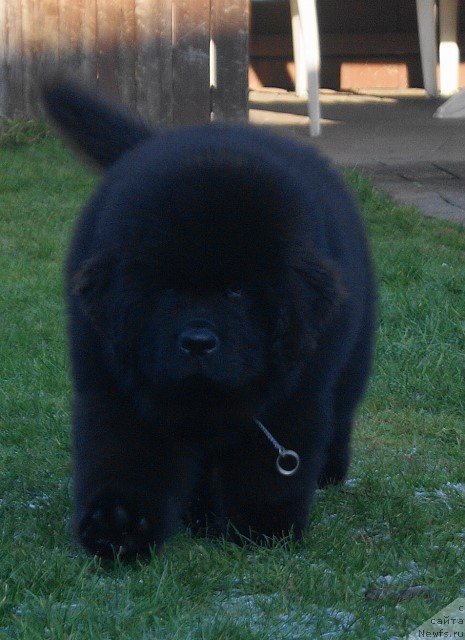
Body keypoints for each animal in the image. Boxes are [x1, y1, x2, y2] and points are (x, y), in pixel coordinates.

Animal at [41, 82, 376, 556]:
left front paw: (262, 530)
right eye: (166, 290)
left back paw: (328, 474)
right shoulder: (117, 387)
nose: (198, 342)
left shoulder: (293, 393)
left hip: (352, 355)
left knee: (343, 410)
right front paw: (117, 525)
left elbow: (266, 467)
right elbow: (127, 454)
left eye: (237, 291)